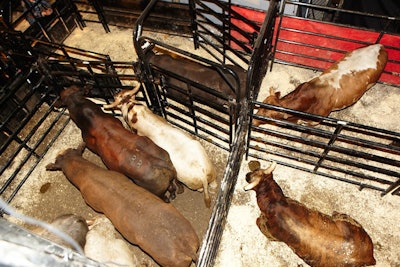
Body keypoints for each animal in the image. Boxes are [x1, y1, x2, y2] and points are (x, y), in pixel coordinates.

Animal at [244, 161, 376, 267]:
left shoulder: (269, 232)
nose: (246, 175)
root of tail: (370, 258)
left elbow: (257, 221)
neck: (275, 202)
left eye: (254, 173)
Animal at [253, 43, 388, 126]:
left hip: (372, 82)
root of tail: (380, 46)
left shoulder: (317, 120)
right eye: (260, 107)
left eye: (270, 116)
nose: (253, 120)